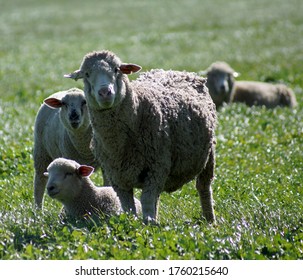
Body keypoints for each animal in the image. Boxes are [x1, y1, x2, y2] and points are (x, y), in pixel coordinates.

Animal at [64, 50, 218, 224]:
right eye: (87, 74)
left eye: (117, 69)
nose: (104, 92)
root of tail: (175, 71)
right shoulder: (117, 177)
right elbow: (128, 207)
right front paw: (135, 223)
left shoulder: (156, 167)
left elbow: (147, 200)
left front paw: (149, 224)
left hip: (209, 154)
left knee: (204, 187)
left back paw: (210, 221)